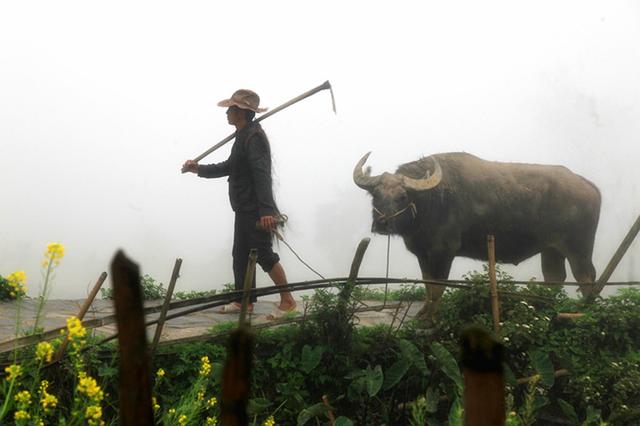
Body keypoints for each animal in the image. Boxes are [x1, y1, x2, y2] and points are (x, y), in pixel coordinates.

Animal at [356, 151, 600, 324]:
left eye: (402, 196)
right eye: (376, 195)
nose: (382, 223)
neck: (432, 200)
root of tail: (589, 186)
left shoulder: (443, 253)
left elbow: (437, 287)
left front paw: (431, 318)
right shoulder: (423, 254)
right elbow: (428, 284)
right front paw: (424, 312)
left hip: (579, 248)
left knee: (586, 277)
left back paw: (584, 312)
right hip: (551, 248)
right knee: (554, 277)